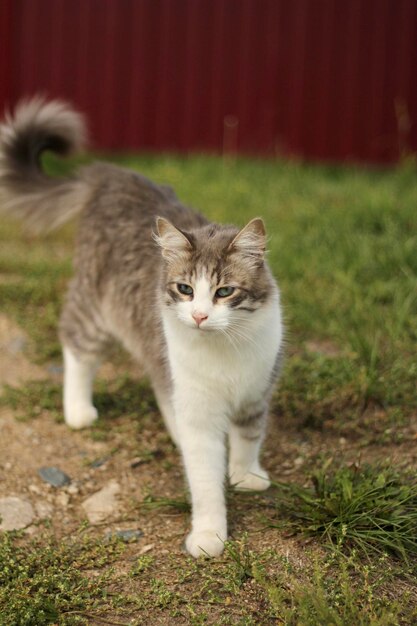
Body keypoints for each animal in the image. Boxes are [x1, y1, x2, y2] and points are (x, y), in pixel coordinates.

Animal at [0, 98, 282, 556]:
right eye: (186, 289)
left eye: (224, 292)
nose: (199, 316)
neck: (225, 352)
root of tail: (114, 175)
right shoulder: (201, 414)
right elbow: (206, 483)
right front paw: (209, 534)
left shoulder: (256, 392)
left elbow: (248, 439)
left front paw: (245, 475)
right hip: (95, 312)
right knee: (76, 346)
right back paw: (78, 410)